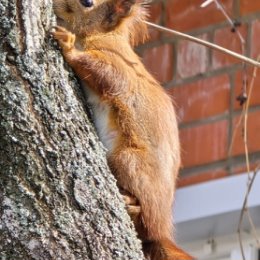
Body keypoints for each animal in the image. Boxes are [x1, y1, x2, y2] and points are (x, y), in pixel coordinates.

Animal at [52, 1, 191, 258]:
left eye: (88, 3)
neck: (104, 34)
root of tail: (162, 230)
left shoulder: (116, 63)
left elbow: (105, 73)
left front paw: (69, 48)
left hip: (126, 159)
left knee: (147, 223)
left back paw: (134, 207)